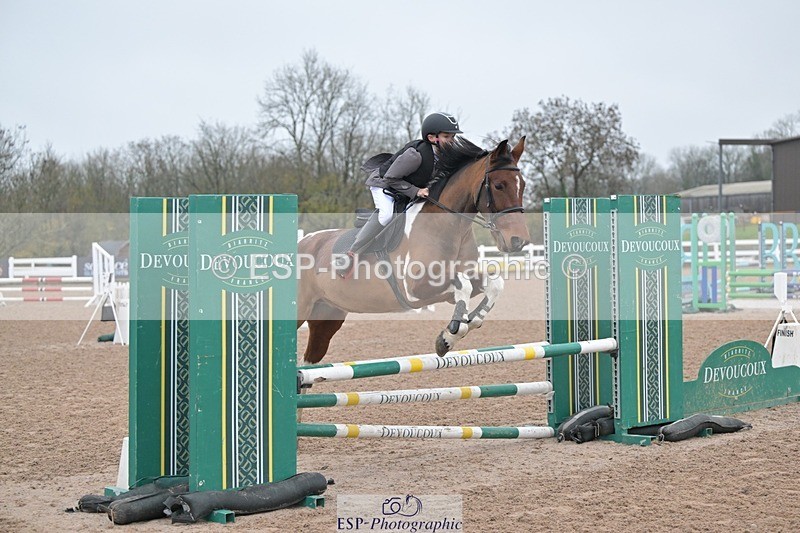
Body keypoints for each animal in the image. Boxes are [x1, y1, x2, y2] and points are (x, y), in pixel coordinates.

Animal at [297, 137, 530, 363]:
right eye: (499, 185)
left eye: (523, 185)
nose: (518, 240)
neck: (448, 227)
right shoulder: (416, 289)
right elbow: (463, 284)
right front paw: (451, 332)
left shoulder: (458, 282)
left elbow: (494, 284)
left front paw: (456, 331)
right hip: (301, 309)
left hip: (327, 315)